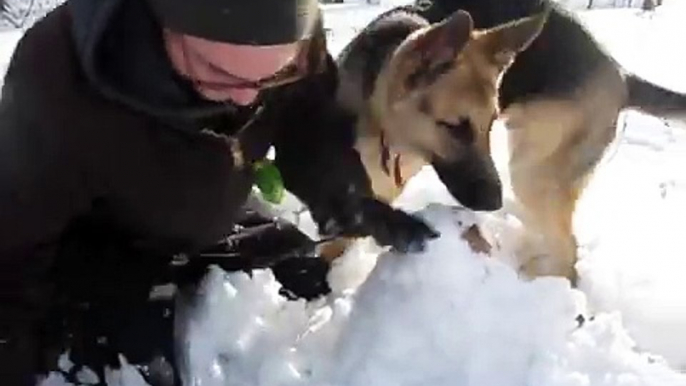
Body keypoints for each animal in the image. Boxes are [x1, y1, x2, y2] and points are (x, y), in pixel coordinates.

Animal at [328, 0, 686, 284]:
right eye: (454, 127)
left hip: (532, 172)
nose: (494, 203)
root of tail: (620, 73)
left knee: (569, 252)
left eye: (490, 124)